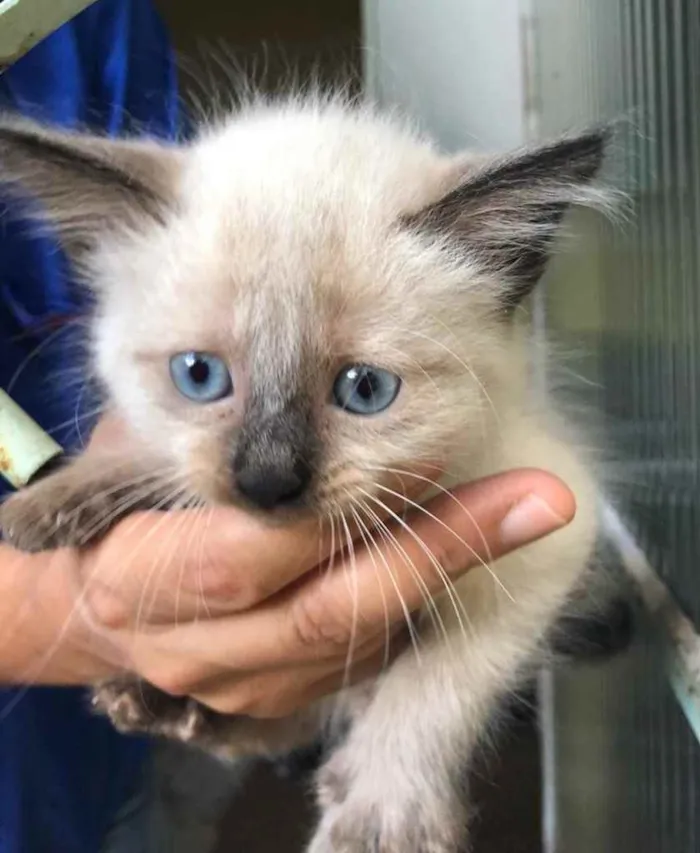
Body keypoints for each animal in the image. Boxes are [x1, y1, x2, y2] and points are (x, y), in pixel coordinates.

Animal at [0, 100, 612, 852]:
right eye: (198, 376)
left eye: (366, 389)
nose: (265, 481)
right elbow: (160, 455)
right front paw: (66, 491)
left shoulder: (548, 527)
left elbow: (436, 680)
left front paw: (380, 820)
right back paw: (158, 702)